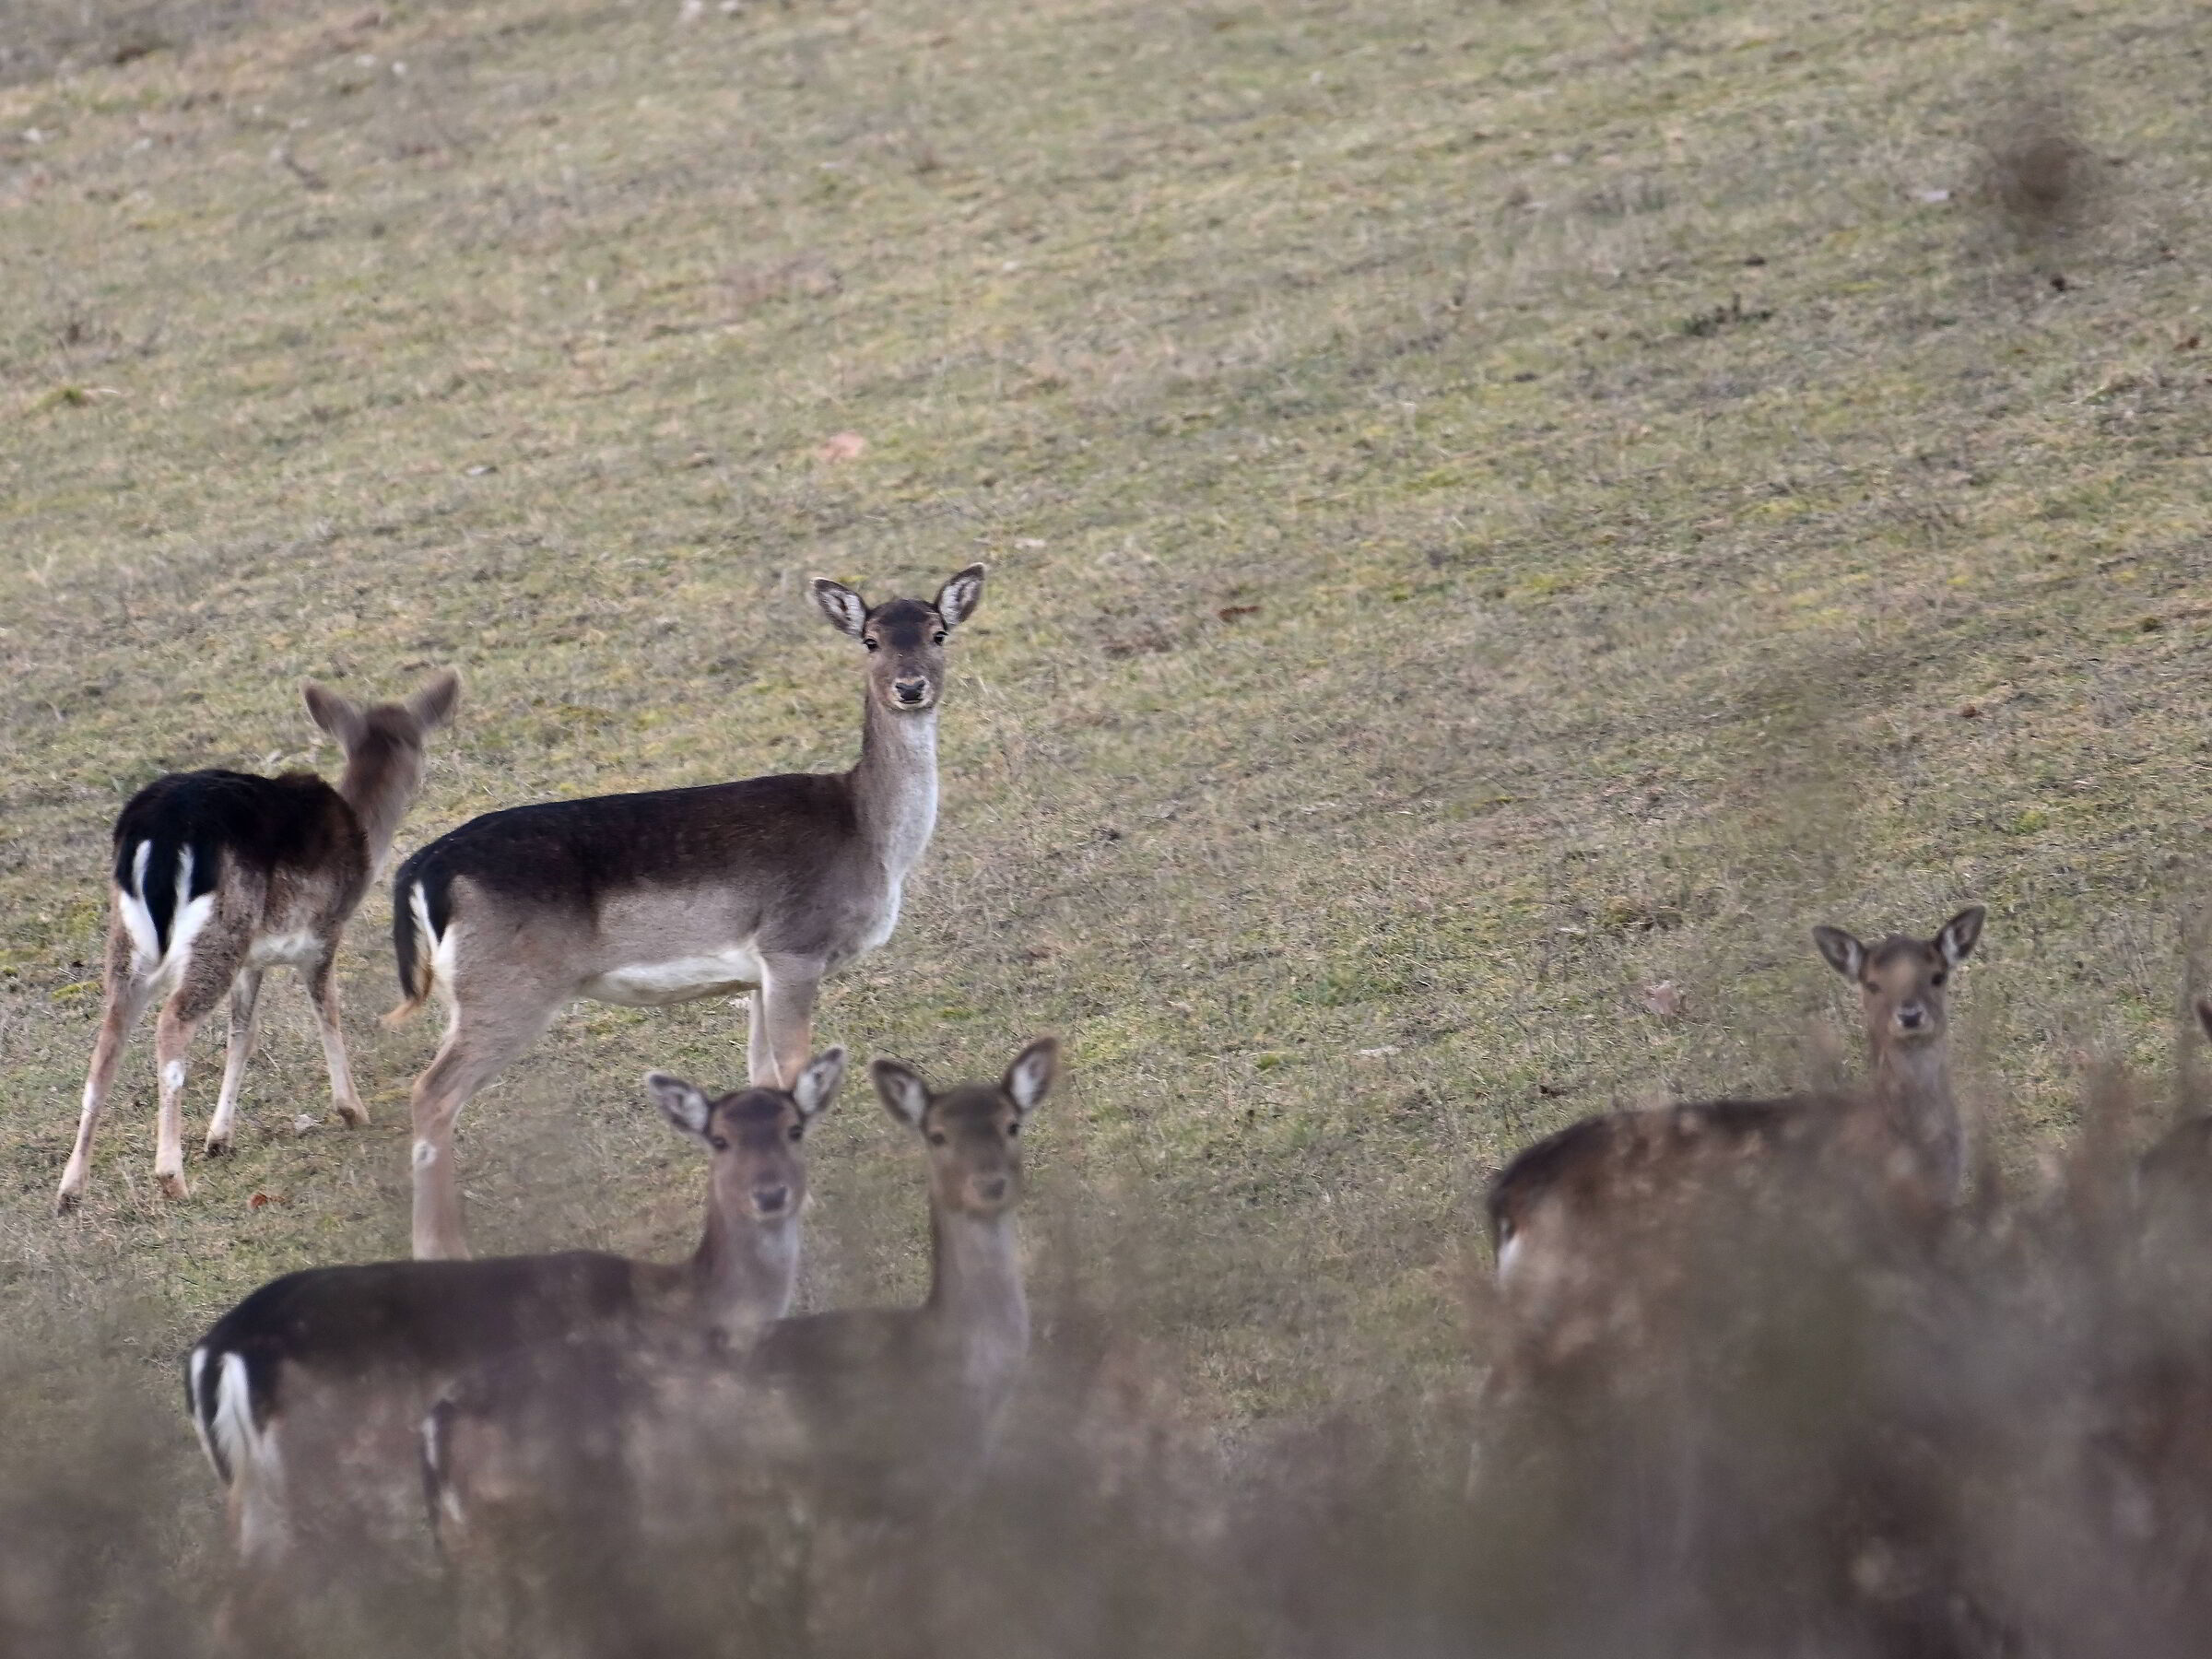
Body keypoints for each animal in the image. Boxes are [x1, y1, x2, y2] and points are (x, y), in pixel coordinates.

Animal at [54, 671, 460, 1214]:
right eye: (421, 743)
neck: (363, 837)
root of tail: (157, 832)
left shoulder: (254, 958)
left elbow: (242, 1034)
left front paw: (218, 1138)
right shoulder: (323, 933)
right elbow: (328, 1012)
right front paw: (352, 1109)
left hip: (132, 938)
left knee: (109, 1035)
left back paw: (70, 1189)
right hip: (220, 931)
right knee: (171, 1024)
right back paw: (171, 1177)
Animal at [185, 1049, 843, 1603]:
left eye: (794, 1129)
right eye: (720, 1139)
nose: (771, 1194)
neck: (687, 1307)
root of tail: (219, 1351)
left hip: (249, 1488)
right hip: (319, 1472)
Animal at [385, 565, 985, 1260]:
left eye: (939, 633)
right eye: (870, 640)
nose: (910, 686)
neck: (871, 838)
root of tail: (425, 866)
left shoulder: (757, 971)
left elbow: (762, 1076)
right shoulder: (794, 945)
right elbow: (795, 1075)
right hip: (506, 990)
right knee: (432, 1092)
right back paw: (442, 1249)